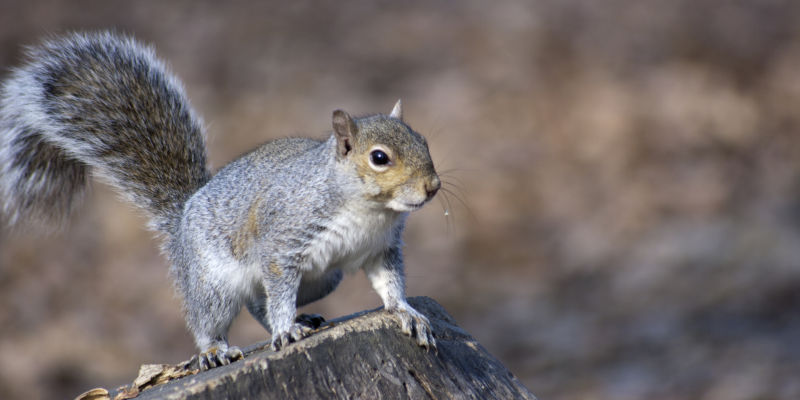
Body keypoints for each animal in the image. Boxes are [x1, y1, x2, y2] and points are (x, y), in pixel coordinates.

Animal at [0, 31, 440, 368]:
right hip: (213, 281)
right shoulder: (284, 241)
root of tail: (183, 216)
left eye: (423, 140)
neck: (370, 211)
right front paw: (286, 328)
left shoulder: (380, 249)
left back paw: (304, 319)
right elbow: (279, 288)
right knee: (215, 316)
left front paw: (406, 312)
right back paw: (218, 349)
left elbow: (389, 283)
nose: (433, 186)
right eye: (379, 158)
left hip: (324, 279)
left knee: (258, 302)